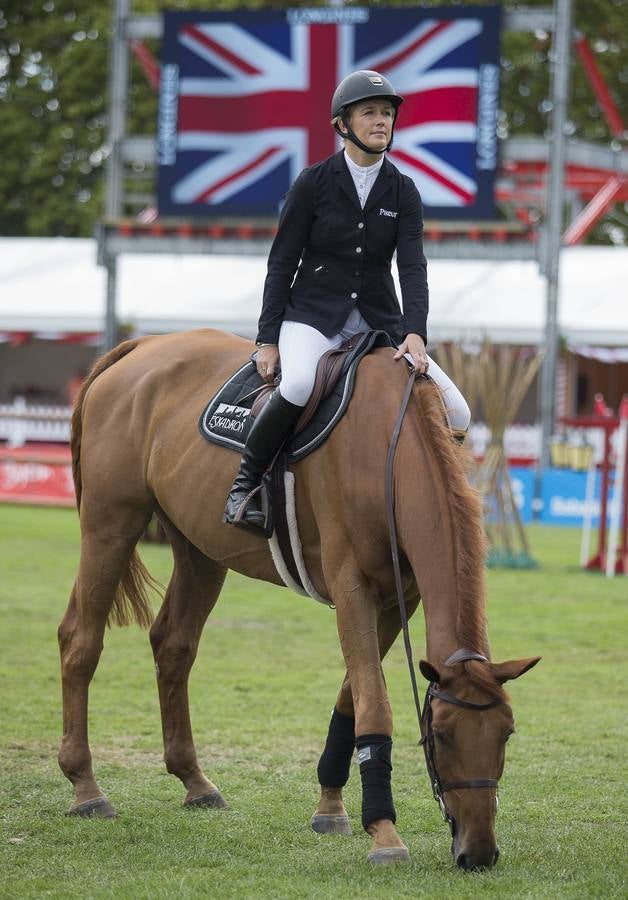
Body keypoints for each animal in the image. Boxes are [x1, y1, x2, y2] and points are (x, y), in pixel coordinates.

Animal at [57, 328, 540, 864]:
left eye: (507, 733)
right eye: (441, 735)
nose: (478, 853)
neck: (385, 451)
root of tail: (141, 347)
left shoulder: (397, 601)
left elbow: (352, 695)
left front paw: (331, 806)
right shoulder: (353, 588)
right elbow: (374, 701)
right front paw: (385, 833)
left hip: (200, 550)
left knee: (173, 645)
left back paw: (195, 782)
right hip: (111, 526)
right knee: (80, 639)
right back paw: (86, 788)